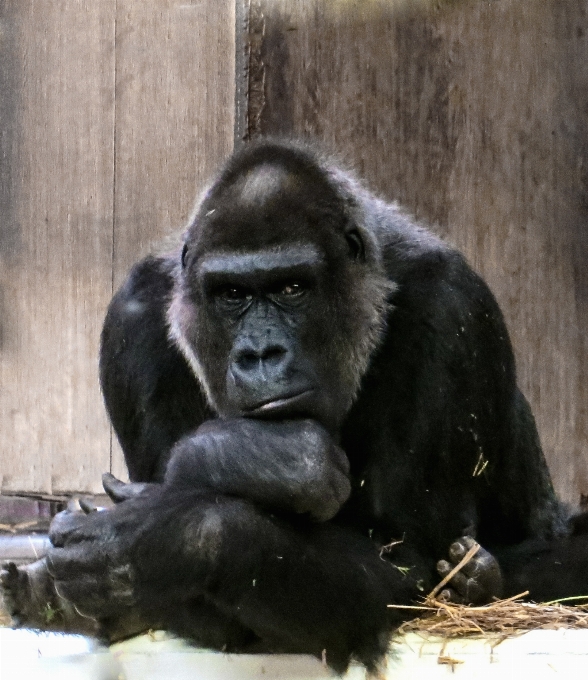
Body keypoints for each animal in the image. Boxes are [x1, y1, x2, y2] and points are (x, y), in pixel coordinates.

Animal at [1, 139, 588, 676]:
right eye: (232, 294)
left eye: (292, 287)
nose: (262, 354)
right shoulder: (133, 312)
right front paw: (261, 460)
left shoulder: (454, 308)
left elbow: (402, 563)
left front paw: (172, 536)